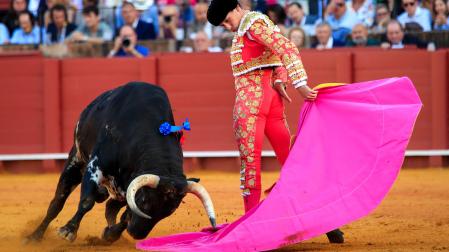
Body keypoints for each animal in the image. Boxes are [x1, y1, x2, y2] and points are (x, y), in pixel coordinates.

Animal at [25, 82, 217, 244]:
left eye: (169, 211)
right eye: (144, 201)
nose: (136, 234)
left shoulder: (129, 188)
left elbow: (125, 215)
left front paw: (110, 235)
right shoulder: (95, 167)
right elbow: (87, 201)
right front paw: (68, 231)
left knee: (109, 206)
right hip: (76, 160)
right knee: (57, 202)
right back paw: (34, 236)